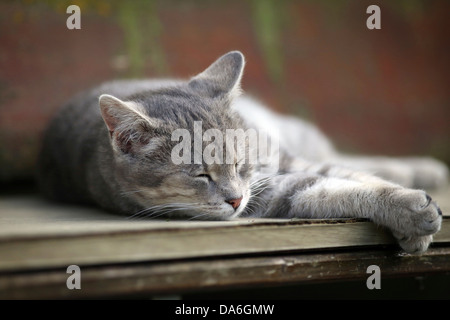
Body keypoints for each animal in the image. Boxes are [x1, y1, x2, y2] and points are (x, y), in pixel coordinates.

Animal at [37, 51, 446, 254]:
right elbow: (336, 189)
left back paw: (422, 168)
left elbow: (354, 175)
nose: (234, 200)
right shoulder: (278, 194)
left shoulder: (281, 163)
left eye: (240, 164)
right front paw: (410, 213)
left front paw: (412, 202)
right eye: (201, 176)